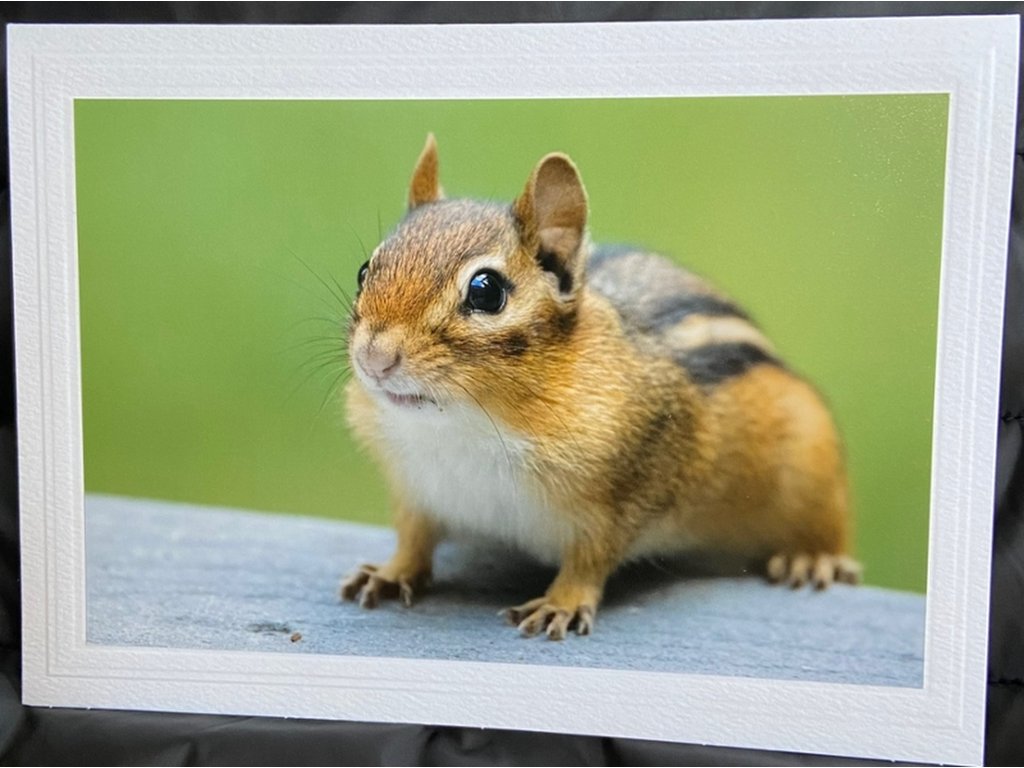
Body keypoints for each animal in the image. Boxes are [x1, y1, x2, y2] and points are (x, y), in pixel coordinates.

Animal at [340, 134, 861, 640]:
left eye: (486, 291)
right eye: (366, 269)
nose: (375, 357)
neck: (463, 424)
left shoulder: (626, 496)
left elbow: (591, 558)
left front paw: (563, 602)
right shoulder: (417, 489)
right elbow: (414, 537)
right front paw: (391, 572)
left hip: (812, 470)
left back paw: (813, 558)